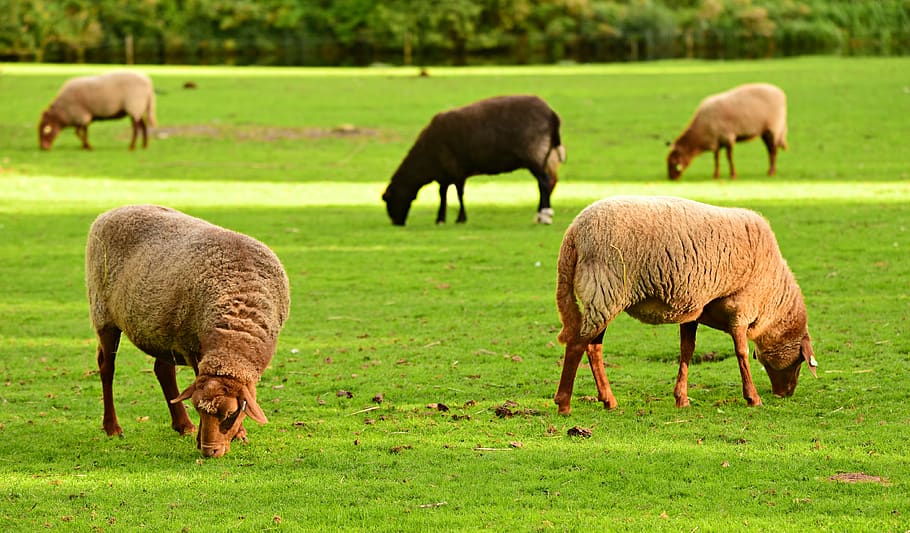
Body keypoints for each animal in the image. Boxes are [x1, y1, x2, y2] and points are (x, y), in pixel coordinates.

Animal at [87, 205, 290, 458]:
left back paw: (183, 425)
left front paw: (238, 434)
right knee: (107, 367)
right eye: (199, 409)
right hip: (102, 313)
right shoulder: (192, 347)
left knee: (163, 370)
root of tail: (109, 212)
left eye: (230, 413)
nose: (209, 451)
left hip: (163, 330)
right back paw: (112, 428)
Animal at [382, 94, 568, 225]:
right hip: (543, 155)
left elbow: (458, 193)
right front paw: (440, 219)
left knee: (544, 182)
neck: (426, 159)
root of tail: (552, 114)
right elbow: (442, 194)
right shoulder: (445, 174)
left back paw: (545, 216)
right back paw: (539, 215)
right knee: (544, 184)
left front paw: (460, 218)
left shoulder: (455, 170)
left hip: (534, 153)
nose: (397, 223)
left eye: (388, 200)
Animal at [556, 195, 820, 416]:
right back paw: (564, 404)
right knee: (577, 345)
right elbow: (742, 353)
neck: (772, 296)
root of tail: (573, 232)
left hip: (603, 296)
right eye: (799, 361)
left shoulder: (693, 310)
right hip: (604, 289)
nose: (786, 394)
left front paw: (681, 399)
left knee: (593, 347)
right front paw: (753, 398)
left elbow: (687, 351)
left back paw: (608, 401)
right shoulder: (740, 309)